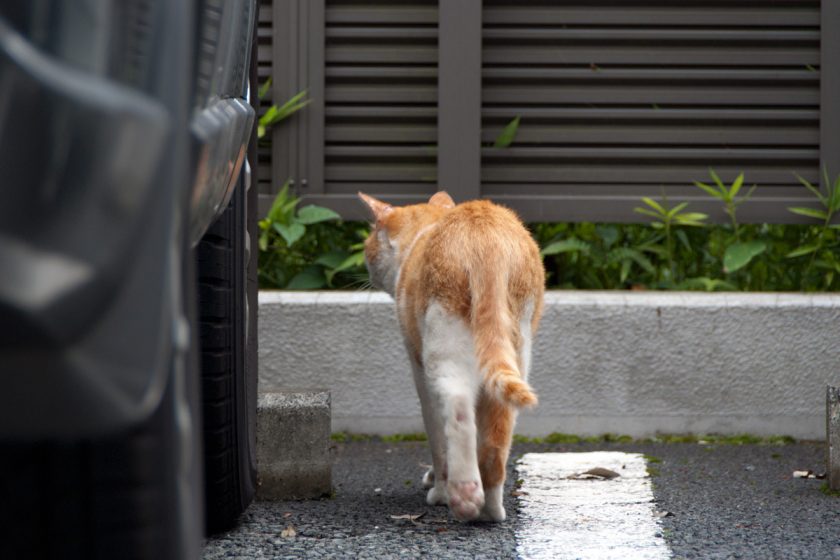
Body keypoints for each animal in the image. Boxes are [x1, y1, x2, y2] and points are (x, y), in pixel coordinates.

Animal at [356, 191, 544, 520]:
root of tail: (486, 237)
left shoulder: (418, 366)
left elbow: (436, 436)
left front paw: (439, 487)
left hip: (443, 350)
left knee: (457, 412)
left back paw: (462, 496)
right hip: (517, 352)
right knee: (498, 433)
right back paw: (491, 509)